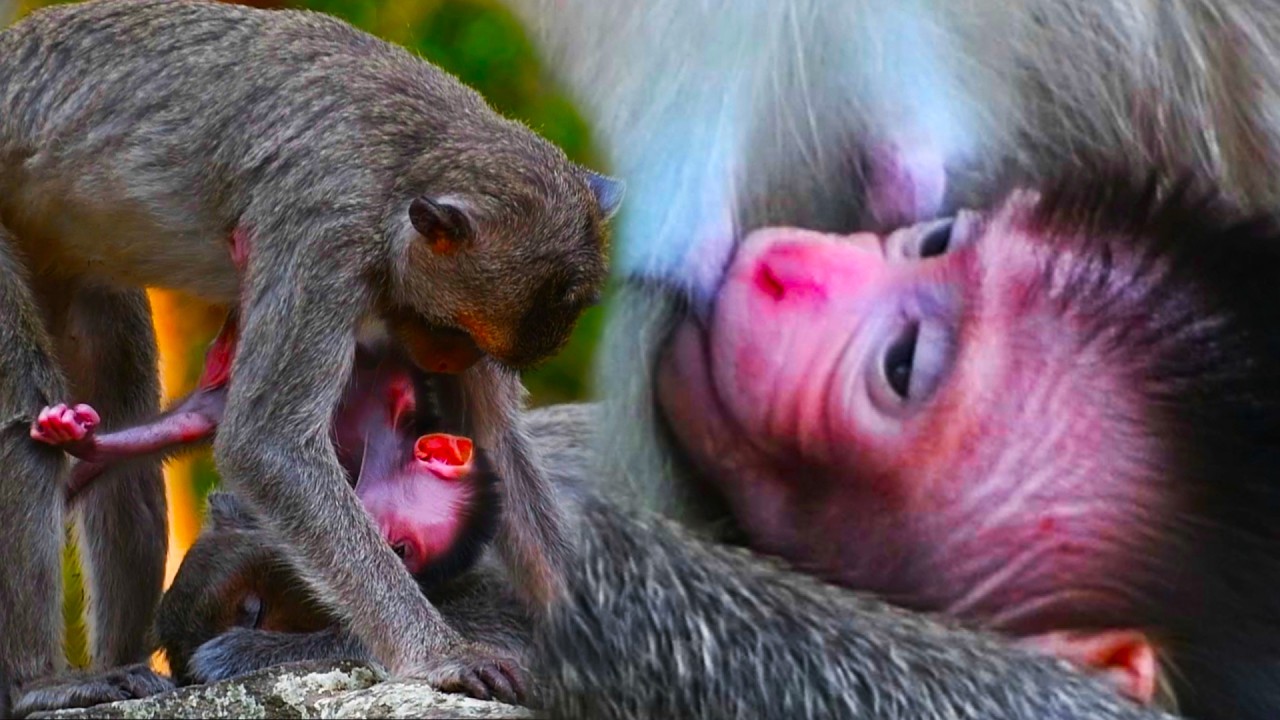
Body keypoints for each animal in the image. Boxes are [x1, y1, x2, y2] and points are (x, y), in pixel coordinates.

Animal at [0, 0, 621, 713]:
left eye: (466, 346)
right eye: (448, 331)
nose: (444, 363)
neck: (409, 159)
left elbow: (497, 447)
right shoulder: (324, 226)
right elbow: (267, 444)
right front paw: (443, 654)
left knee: (122, 429)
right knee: (25, 416)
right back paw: (39, 683)